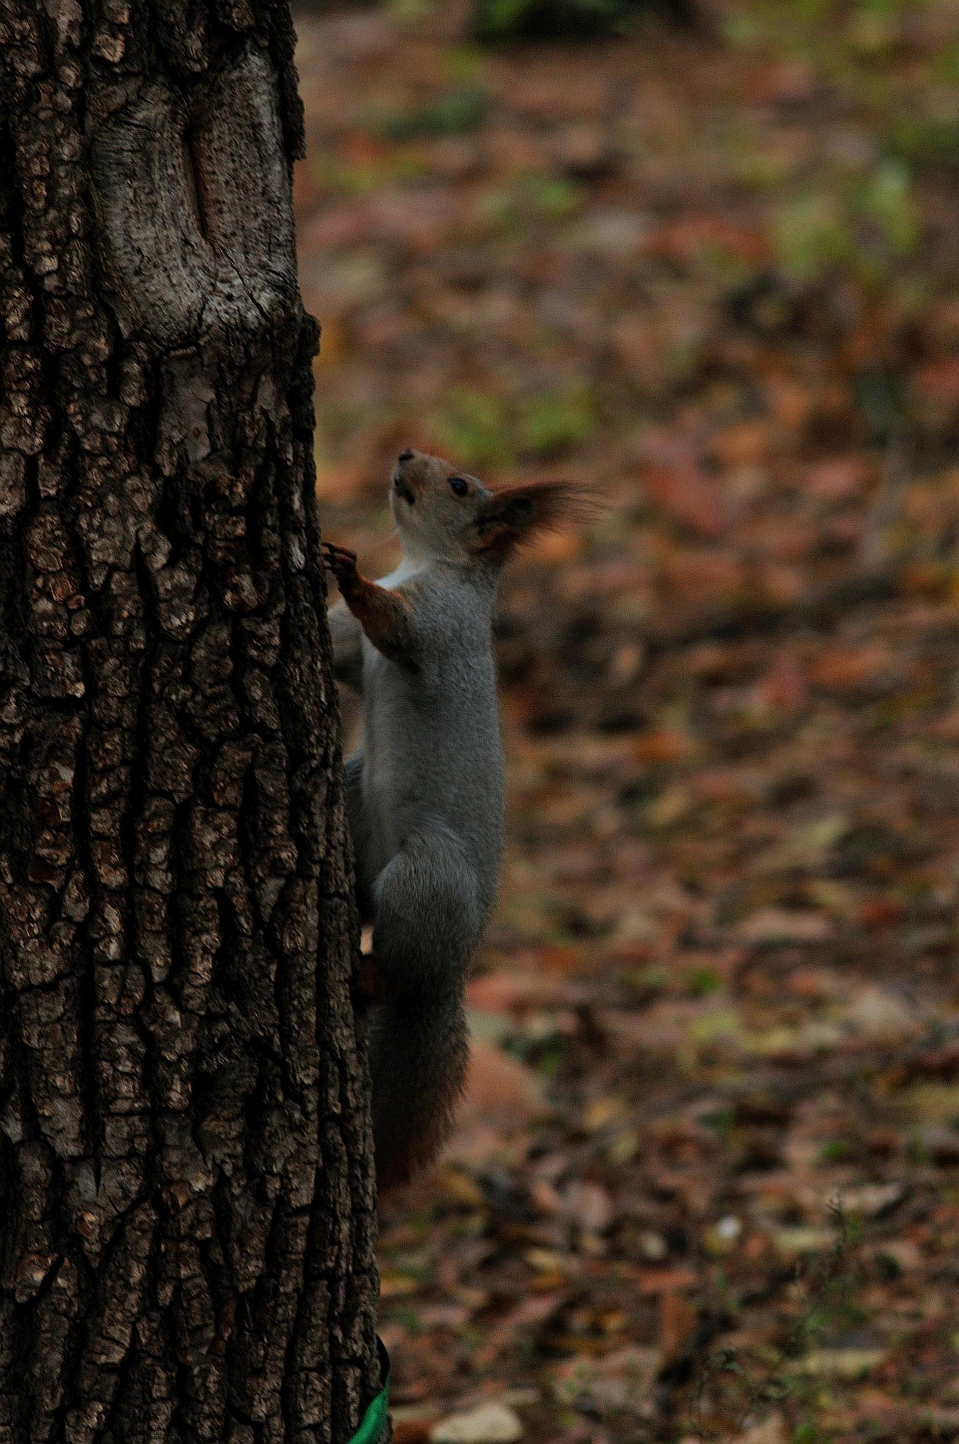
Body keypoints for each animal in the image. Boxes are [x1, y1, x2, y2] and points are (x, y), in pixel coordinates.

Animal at [326, 447, 589, 1184]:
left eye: (459, 485)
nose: (404, 453)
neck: (422, 565)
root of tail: (450, 977)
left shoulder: (438, 628)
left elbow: (394, 627)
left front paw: (349, 575)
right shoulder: (356, 654)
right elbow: (341, 655)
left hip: (427, 876)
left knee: (399, 963)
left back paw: (374, 972)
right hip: (356, 799)